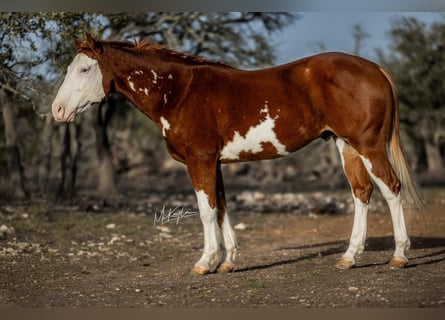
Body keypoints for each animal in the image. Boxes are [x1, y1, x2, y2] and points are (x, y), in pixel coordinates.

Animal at [52, 32, 424, 276]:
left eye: (84, 70)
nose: (57, 110)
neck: (179, 91)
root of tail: (375, 69)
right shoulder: (214, 162)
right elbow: (221, 208)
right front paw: (227, 260)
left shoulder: (200, 160)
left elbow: (206, 212)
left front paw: (205, 262)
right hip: (346, 146)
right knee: (362, 192)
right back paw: (349, 257)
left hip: (369, 146)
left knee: (391, 189)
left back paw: (399, 255)